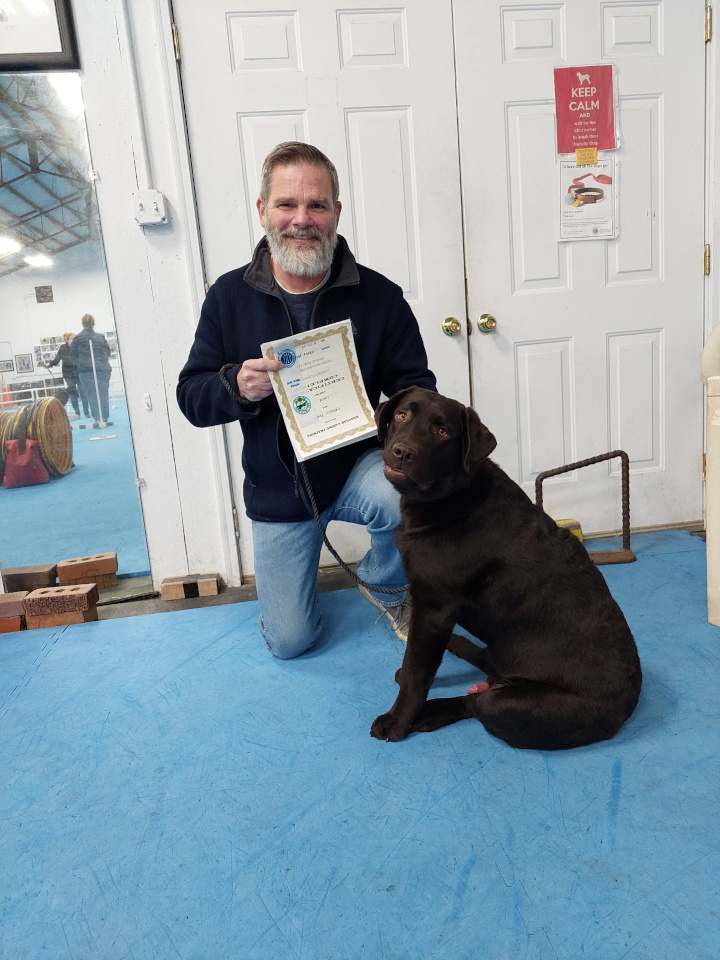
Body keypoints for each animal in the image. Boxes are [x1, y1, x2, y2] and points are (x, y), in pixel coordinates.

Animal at [370, 387, 642, 750]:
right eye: (402, 415)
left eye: (442, 432)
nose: (403, 452)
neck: (455, 496)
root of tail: (628, 706)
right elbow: (414, 662)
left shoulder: (433, 609)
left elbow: (417, 672)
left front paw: (397, 721)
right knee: (486, 665)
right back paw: (457, 646)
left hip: (508, 701)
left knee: (475, 700)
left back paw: (429, 712)